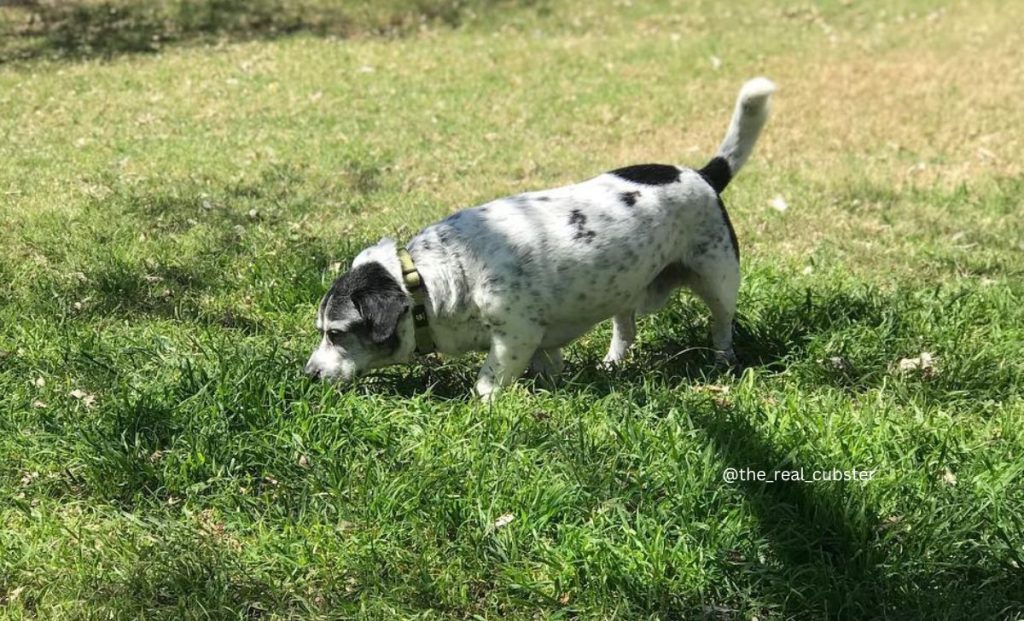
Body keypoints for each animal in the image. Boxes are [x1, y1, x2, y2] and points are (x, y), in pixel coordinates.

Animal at [303, 77, 774, 401]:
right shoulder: (543, 346)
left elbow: (488, 382)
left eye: (337, 333)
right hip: (626, 290)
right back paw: (611, 363)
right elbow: (550, 368)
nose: (308, 374)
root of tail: (703, 175)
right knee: (626, 329)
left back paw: (723, 361)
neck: (435, 277)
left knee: (721, 326)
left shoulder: (516, 337)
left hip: (718, 279)